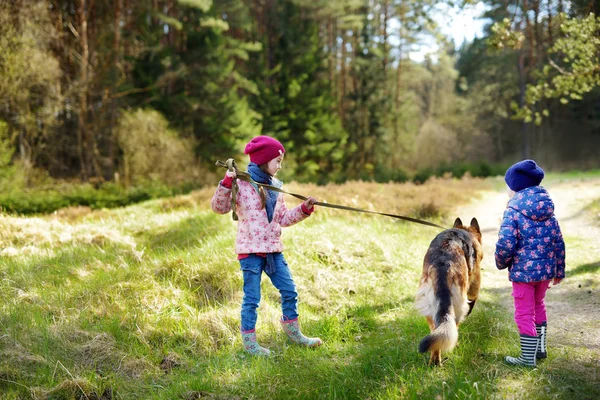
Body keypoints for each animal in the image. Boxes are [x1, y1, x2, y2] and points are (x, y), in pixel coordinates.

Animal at [414, 219, 486, 366]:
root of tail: (443, 263)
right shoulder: (473, 290)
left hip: (430, 310)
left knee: (436, 335)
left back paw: (435, 362)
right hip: (458, 307)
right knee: (455, 327)